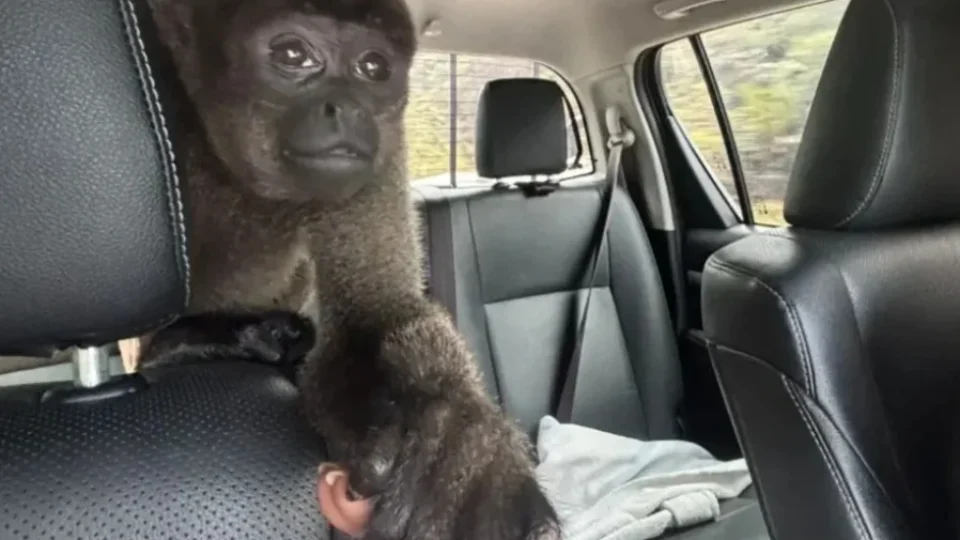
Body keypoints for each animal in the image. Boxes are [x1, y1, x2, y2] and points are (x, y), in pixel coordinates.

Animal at [137, 0, 562, 538]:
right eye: (292, 55)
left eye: (373, 68)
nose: (349, 110)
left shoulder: (384, 150)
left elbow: (373, 317)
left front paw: (462, 440)